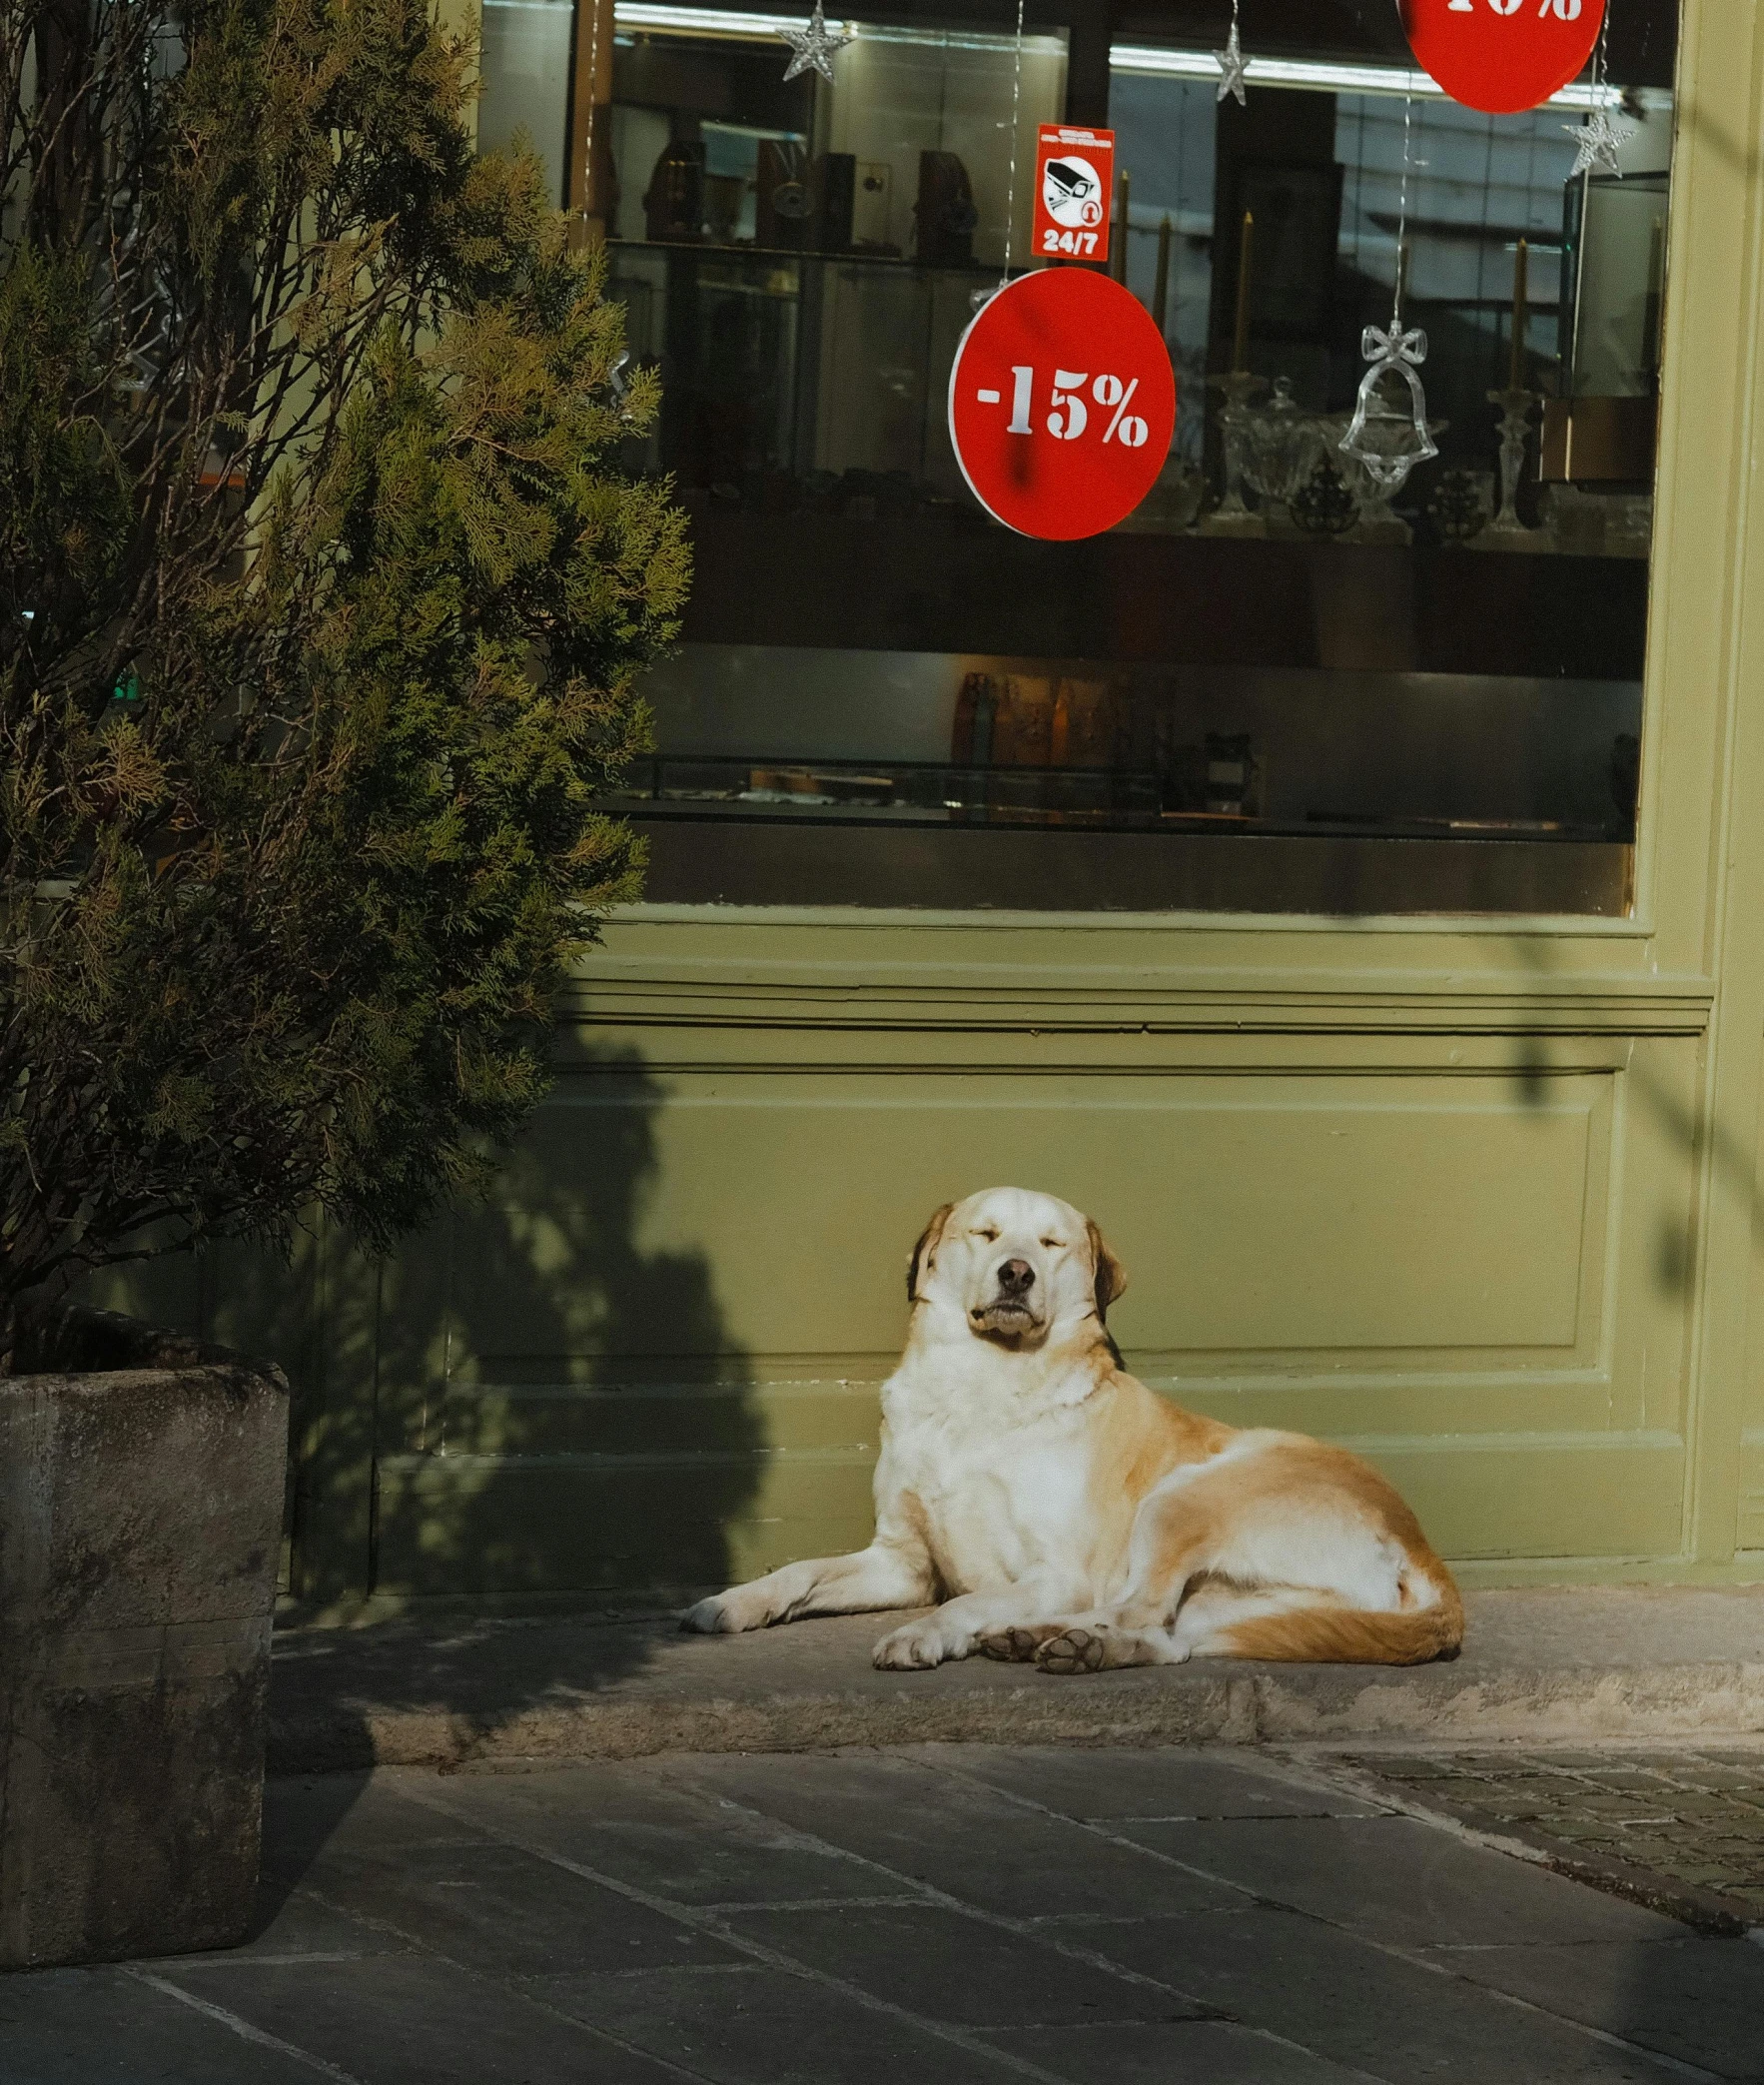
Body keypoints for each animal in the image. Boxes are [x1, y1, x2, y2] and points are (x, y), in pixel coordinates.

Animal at [683, 1192, 1467, 1675]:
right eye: (986, 1232)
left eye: (1052, 1243)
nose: (1017, 1273)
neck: (983, 1390)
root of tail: (1427, 1552)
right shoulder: (901, 1561)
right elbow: (800, 1571)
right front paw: (733, 1602)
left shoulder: (1056, 1571)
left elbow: (968, 1599)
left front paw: (924, 1633)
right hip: (1246, 1604)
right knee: (1166, 1637)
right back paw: (1063, 1642)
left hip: (1187, 1495)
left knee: (1140, 1608)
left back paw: (1063, 1638)